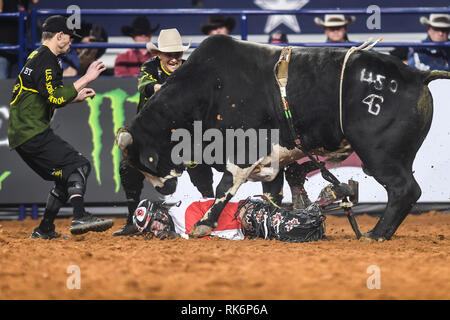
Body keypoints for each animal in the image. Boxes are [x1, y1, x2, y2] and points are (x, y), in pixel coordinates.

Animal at [117, 35, 450, 240]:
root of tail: (418, 75)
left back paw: (376, 234)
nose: (165, 188)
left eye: (144, 163)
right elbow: (273, 190)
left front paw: (204, 224)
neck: (209, 88)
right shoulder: (273, 158)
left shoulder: (243, 150)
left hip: (380, 154)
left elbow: (225, 187)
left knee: (404, 189)